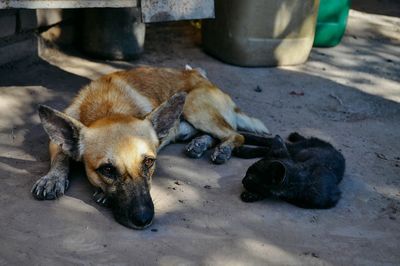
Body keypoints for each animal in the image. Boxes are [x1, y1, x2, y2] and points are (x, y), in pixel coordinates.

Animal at [32, 65, 268, 229]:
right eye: (107, 170)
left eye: (148, 162)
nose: (144, 219)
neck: (108, 108)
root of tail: (201, 76)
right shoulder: (56, 142)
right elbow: (61, 156)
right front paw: (53, 178)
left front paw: (103, 195)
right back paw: (199, 143)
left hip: (195, 105)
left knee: (235, 134)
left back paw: (223, 149)